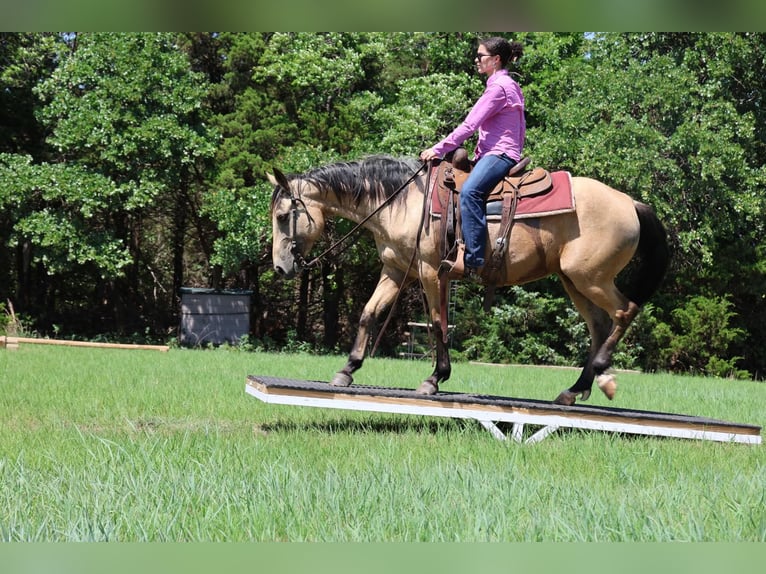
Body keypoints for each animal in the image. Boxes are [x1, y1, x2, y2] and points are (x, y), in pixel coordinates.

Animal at [268, 154, 669, 405]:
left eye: (284, 216)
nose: (280, 268)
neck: (403, 202)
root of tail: (631, 202)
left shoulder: (430, 271)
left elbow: (436, 323)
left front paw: (435, 378)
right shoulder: (395, 270)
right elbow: (369, 313)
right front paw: (347, 370)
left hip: (590, 279)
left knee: (624, 312)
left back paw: (602, 374)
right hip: (575, 281)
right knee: (600, 325)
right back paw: (574, 389)